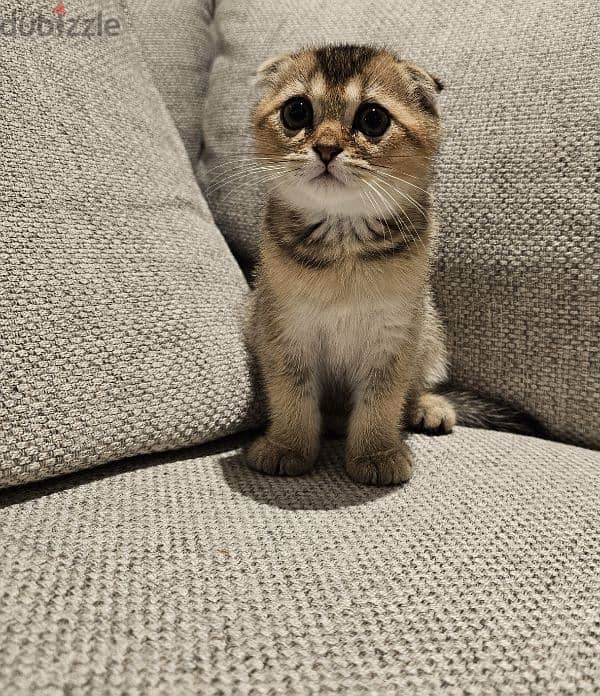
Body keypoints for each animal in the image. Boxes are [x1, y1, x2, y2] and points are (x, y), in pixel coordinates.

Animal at [244, 46, 468, 486]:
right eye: (296, 111)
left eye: (373, 118)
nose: (327, 148)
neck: (343, 243)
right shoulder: (282, 328)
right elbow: (291, 392)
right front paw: (288, 446)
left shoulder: (395, 334)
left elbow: (382, 398)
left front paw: (377, 453)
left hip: (430, 332)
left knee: (416, 386)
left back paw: (428, 407)